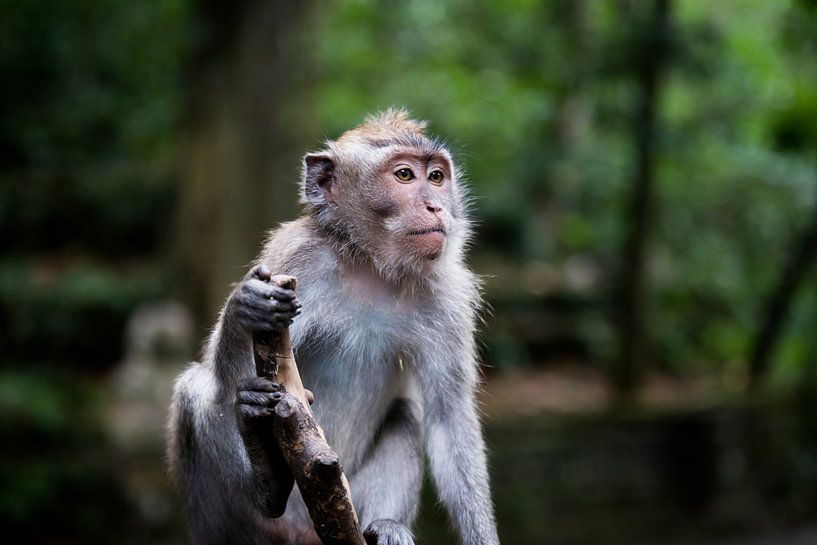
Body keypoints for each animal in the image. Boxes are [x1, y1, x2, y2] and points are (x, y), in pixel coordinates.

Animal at [166, 109, 498, 544]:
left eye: (437, 177)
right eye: (405, 175)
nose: (435, 208)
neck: (371, 267)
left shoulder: (447, 299)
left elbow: (448, 417)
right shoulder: (295, 259)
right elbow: (219, 372)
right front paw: (243, 308)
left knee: (406, 414)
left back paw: (385, 527)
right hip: (242, 520)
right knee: (195, 391)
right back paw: (265, 482)